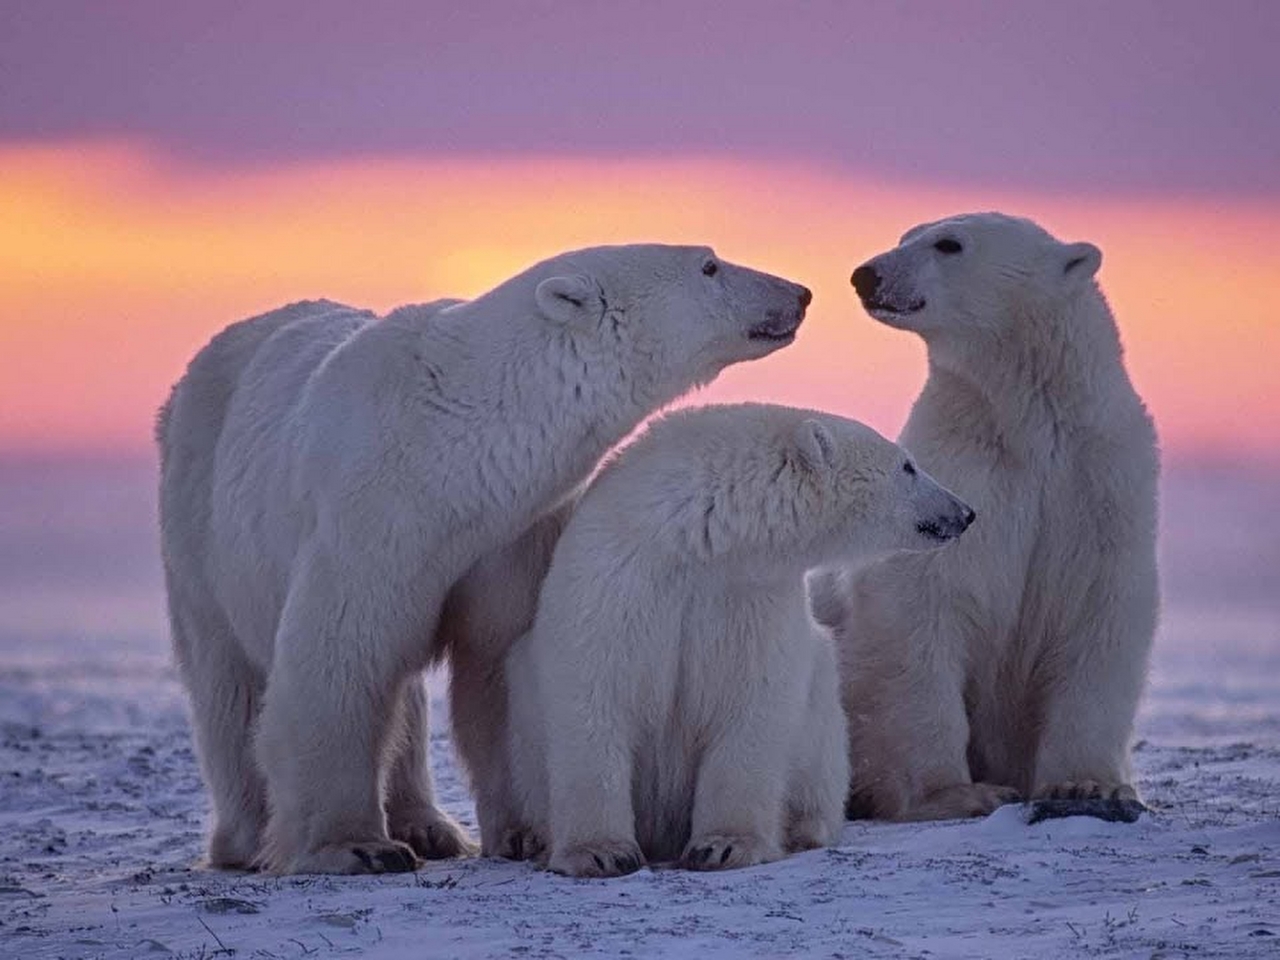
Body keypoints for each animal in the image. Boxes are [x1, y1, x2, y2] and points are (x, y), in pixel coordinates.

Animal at [152, 244, 808, 875]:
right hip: (199, 524)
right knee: (227, 681)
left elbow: (499, 662)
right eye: (710, 265)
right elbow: (340, 657)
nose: (799, 292)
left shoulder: (509, 535)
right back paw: (247, 838)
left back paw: (429, 827)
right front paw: (356, 847)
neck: (452, 449)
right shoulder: (369, 518)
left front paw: (525, 833)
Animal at [499, 401, 967, 875]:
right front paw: (600, 852)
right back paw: (531, 838)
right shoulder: (618, 577)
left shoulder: (749, 596)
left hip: (821, 714)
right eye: (907, 465)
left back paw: (803, 827)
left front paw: (723, 846)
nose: (964, 512)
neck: (698, 539)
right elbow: (594, 694)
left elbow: (750, 702)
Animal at [814, 213, 1167, 824]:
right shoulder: (964, 474)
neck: (1028, 424)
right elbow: (921, 603)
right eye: (906, 235)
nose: (866, 275)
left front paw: (1087, 785)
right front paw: (957, 792)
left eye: (948, 243)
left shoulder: (1100, 485)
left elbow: (1101, 613)